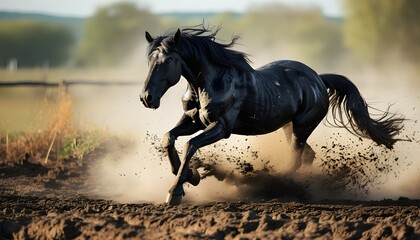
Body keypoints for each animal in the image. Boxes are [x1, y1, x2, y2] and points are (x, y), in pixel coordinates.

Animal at [140, 25, 404, 204]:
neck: (209, 83)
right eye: (150, 60)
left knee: (296, 158)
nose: (146, 98)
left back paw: (275, 184)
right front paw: (190, 175)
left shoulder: (222, 127)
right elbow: (169, 138)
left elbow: (190, 145)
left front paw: (176, 191)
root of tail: (319, 79)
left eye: (169, 60)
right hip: (289, 128)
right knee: (307, 155)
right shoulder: (192, 120)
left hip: (301, 128)